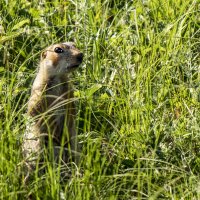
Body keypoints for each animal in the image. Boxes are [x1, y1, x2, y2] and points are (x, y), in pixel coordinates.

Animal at [23, 42, 83, 170]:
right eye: (58, 49)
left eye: (74, 44)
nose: (81, 55)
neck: (58, 79)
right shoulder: (38, 93)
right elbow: (37, 113)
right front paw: (54, 132)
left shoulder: (69, 94)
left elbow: (71, 113)